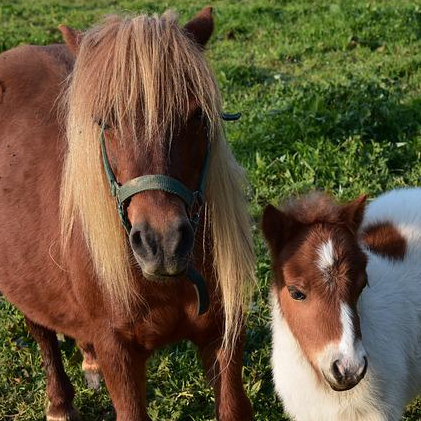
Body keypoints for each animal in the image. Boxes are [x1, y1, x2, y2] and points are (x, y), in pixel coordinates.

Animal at [0, 7, 253, 420]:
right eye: (106, 122)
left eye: (198, 116)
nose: (163, 243)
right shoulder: (118, 352)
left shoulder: (222, 337)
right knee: (39, 327)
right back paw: (59, 403)